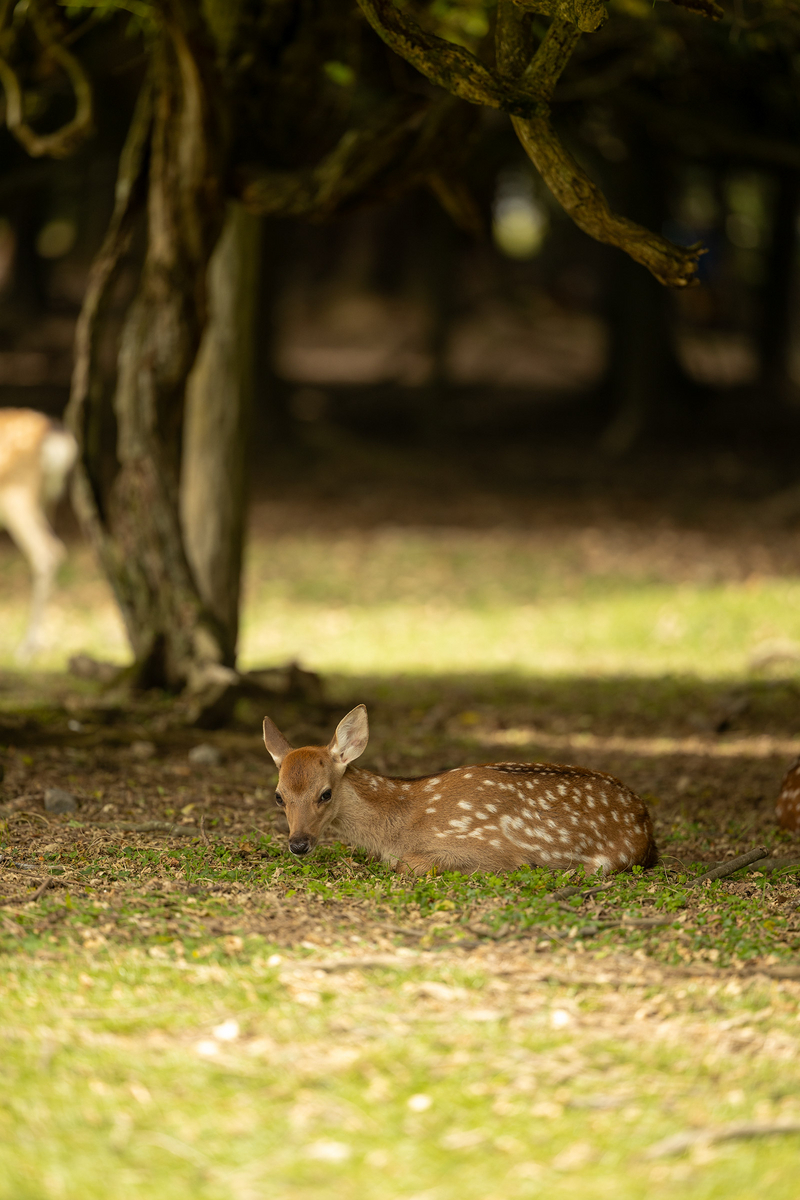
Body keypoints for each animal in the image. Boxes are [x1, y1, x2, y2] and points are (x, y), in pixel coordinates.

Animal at [262, 700, 657, 878]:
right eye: (279, 796)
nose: (298, 844)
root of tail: (644, 818)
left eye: (325, 793)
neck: (398, 824)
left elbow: (406, 864)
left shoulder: (489, 850)